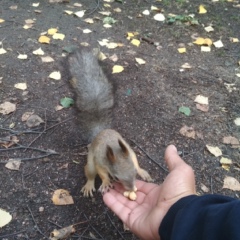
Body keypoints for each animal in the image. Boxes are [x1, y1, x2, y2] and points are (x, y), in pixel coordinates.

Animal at [66, 47, 153, 198]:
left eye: (134, 173)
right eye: (117, 177)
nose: (131, 188)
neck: (115, 151)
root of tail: (100, 131)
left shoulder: (130, 153)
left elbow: (135, 161)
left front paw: (140, 171)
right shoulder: (99, 160)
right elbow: (101, 172)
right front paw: (106, 181)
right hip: (90, 162)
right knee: (90, 173)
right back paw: (89, 185)